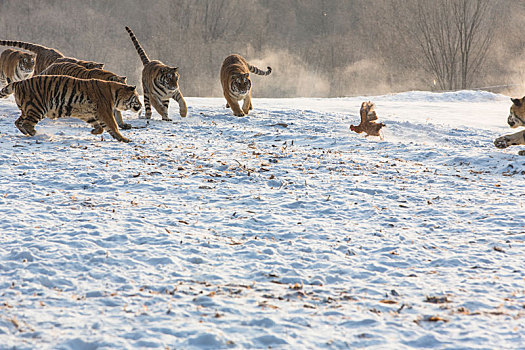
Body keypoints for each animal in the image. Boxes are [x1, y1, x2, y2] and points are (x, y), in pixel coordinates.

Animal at [0, 75, 142, 142]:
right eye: (136, 97)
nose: (141, 106)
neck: (115, 94)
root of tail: (18, 82)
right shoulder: (105, 112)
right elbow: (113, 126)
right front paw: (124, 139)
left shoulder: (88, 113)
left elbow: (100, 127)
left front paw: (94, 131)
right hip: (37, 108)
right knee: (27, 124)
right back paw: (37, 134)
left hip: (27, 109)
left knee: (18, 122)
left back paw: (27, 133)